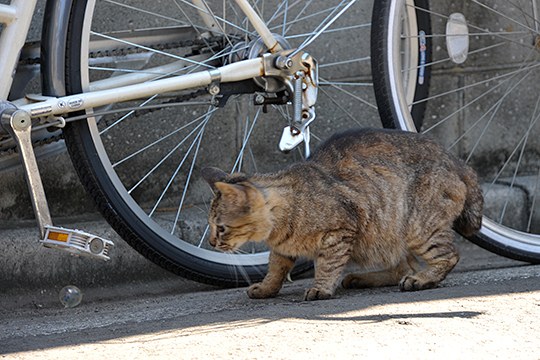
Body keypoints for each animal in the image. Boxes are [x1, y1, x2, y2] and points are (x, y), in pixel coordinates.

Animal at [204, 129, 486, 300]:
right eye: (211, 226)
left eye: (221, 228)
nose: (211, 242)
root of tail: (457, 161)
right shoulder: (282, 249)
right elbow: (275, 269)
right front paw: (266, 288)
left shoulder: (339, 232)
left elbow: (327, 265)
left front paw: (320, 288)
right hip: (392, 235)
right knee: (402, 267)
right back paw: (362, 278)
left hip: (418, 227)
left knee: (448, 256)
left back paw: (420, 279)